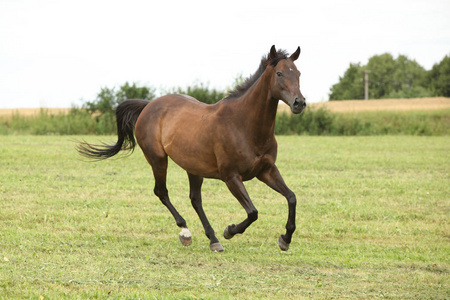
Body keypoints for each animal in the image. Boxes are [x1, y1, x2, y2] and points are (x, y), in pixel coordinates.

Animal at [79, 44, 308, 251]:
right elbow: (253, 212)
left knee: (195, 199)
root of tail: (149, 105)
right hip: (158, 159)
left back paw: (213, 239)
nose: (299, 103)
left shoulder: (266, 171)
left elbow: (291, 197)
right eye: (279, 73)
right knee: (161, 192)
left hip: (194, 167)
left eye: (298, 73)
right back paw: (186, 232)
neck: (243, 125)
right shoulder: (231, 177)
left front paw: (285, 239)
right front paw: (229, 230)